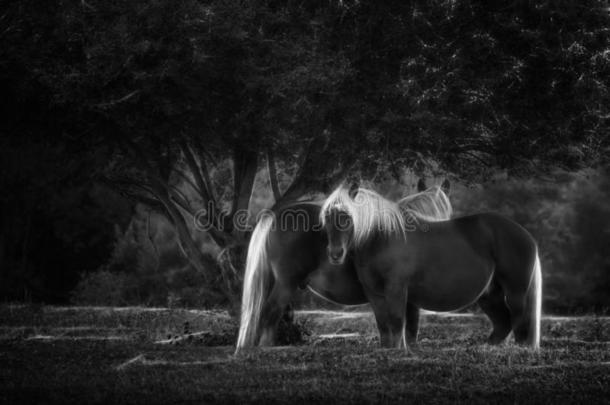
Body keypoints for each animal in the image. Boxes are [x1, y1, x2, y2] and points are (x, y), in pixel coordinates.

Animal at [318, 185, 540, 348]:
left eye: (347, 217)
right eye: (327, 217)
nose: (335, 254)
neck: (384, 238)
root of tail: (526, 235)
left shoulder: (396, 290)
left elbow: (397, 322)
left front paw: (397, 351)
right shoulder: (374, 293)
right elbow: (383, 325)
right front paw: (387, 350)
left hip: (515, 292)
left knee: (520, 321)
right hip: (489, 294)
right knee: (503, 324)